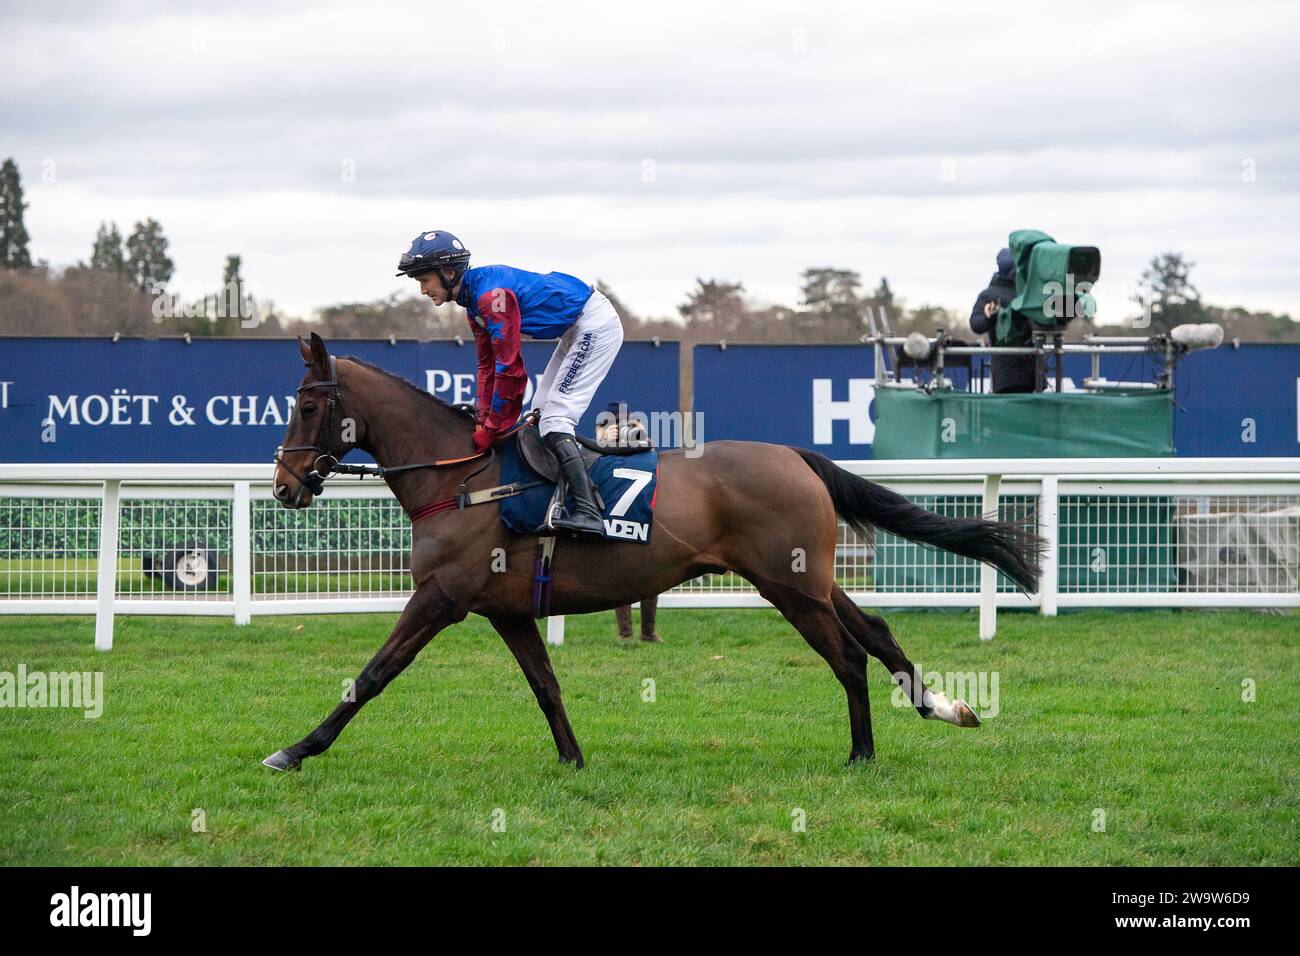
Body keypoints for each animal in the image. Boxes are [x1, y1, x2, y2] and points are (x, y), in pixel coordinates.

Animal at [266, 335, 1045, 770]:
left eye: (306, 405)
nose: (283, 485)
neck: (461, 478)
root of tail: (795, 454)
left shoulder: (441, 597)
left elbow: (371, 676)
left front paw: (296, 750)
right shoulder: (506, 610)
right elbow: (545, 686)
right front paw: (574, 760)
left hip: (789, 587)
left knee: (849, 657)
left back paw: (861, 755)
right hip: (808, 580)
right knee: (877, 632)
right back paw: (944, 707)